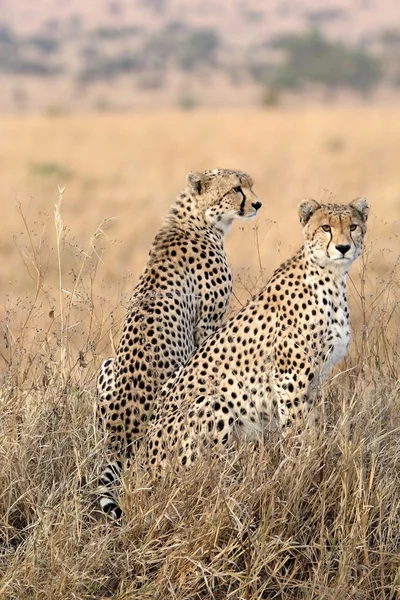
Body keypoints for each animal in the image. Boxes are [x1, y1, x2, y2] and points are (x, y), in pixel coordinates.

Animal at [97, 170, 262, 516]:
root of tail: (120, 432)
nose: (257, 203)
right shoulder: (208, 322)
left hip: (106, 365)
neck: (197, 219)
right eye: (236, 189)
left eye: (250, 185)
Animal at [142, 197, 370, 474]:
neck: (331, 277)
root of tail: (145, 463)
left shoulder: (315, 377)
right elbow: (295, 426)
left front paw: (314, 455)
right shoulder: (289, 376)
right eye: (326, 227)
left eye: (353, 226)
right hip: (212, 403)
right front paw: (297, 463)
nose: (343, 247)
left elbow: (313, 423)